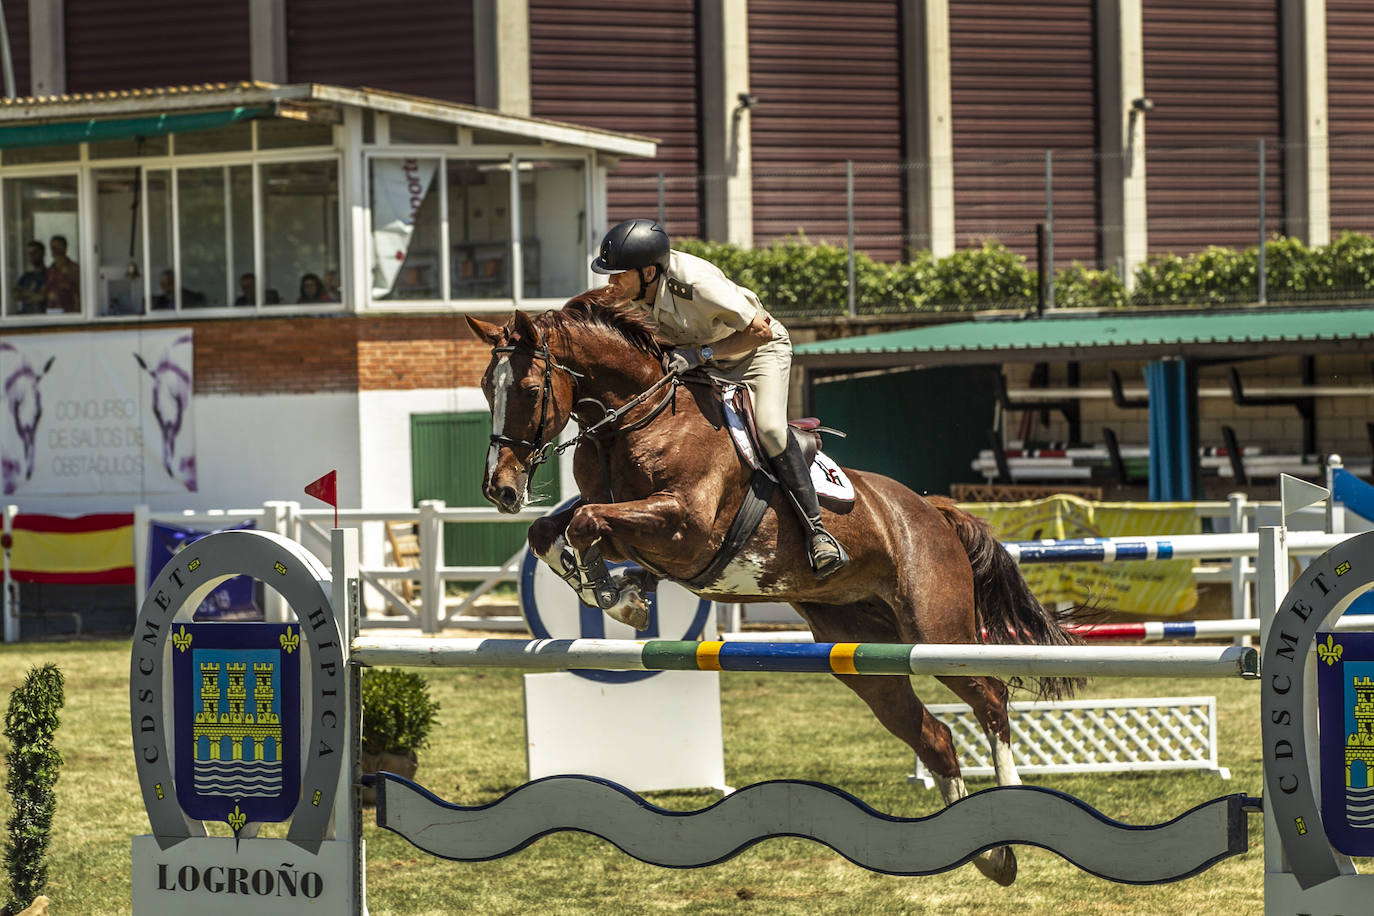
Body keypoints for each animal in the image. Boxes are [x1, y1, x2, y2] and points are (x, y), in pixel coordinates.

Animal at [467, 288, 1077, 889]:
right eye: (485, 387)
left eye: (528, 389)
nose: (500, 489)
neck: (639, 420)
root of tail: (936, 512)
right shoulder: (629, 521)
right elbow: (554, 530)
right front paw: (614, 592)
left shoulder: (685, 525)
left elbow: (586, 521)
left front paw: (617, 597)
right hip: (863, 653)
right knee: (933, 736)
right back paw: (990, 854)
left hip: (936, 632)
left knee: (991, 698)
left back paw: (1010, 815)